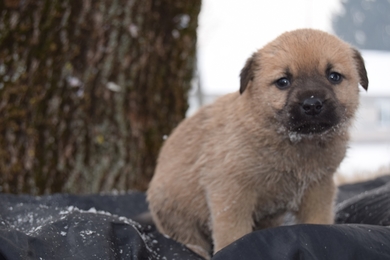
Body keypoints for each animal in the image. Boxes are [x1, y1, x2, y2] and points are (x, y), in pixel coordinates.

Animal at [146, 29, 368, 258]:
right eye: (283, 82)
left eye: (334, 77)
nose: (312, 104)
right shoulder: (231, 195)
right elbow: (232, 235)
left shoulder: (318, 190)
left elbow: (318, 223)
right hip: (178, 218)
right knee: (188, 240)